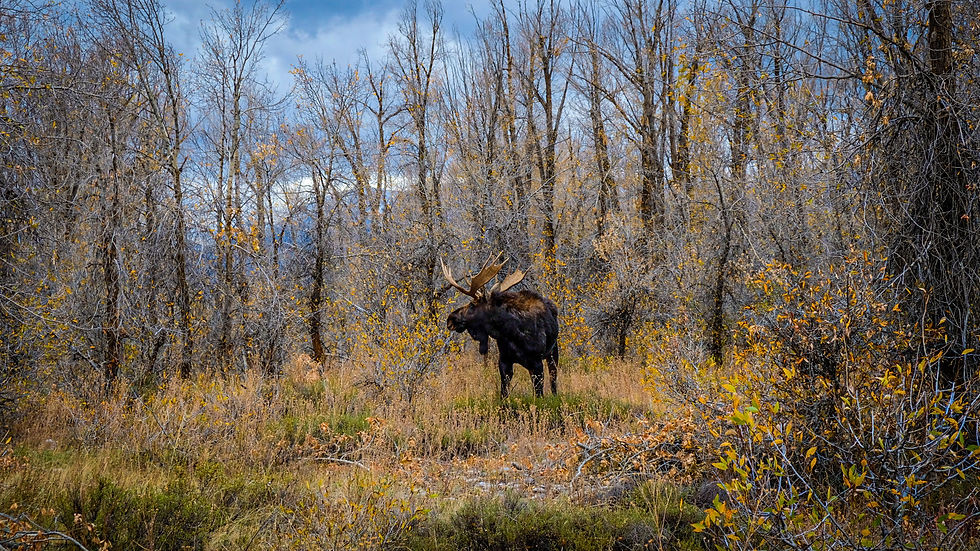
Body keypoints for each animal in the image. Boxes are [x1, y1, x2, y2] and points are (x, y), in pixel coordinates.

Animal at [442, 253, 559, 398]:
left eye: (472, 305)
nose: (450, 319)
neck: (510, 332)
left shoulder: (537, 363)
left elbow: (539, 394)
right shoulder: (504, 361)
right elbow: (503, 394)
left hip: (553, 352)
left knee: (553, 379)